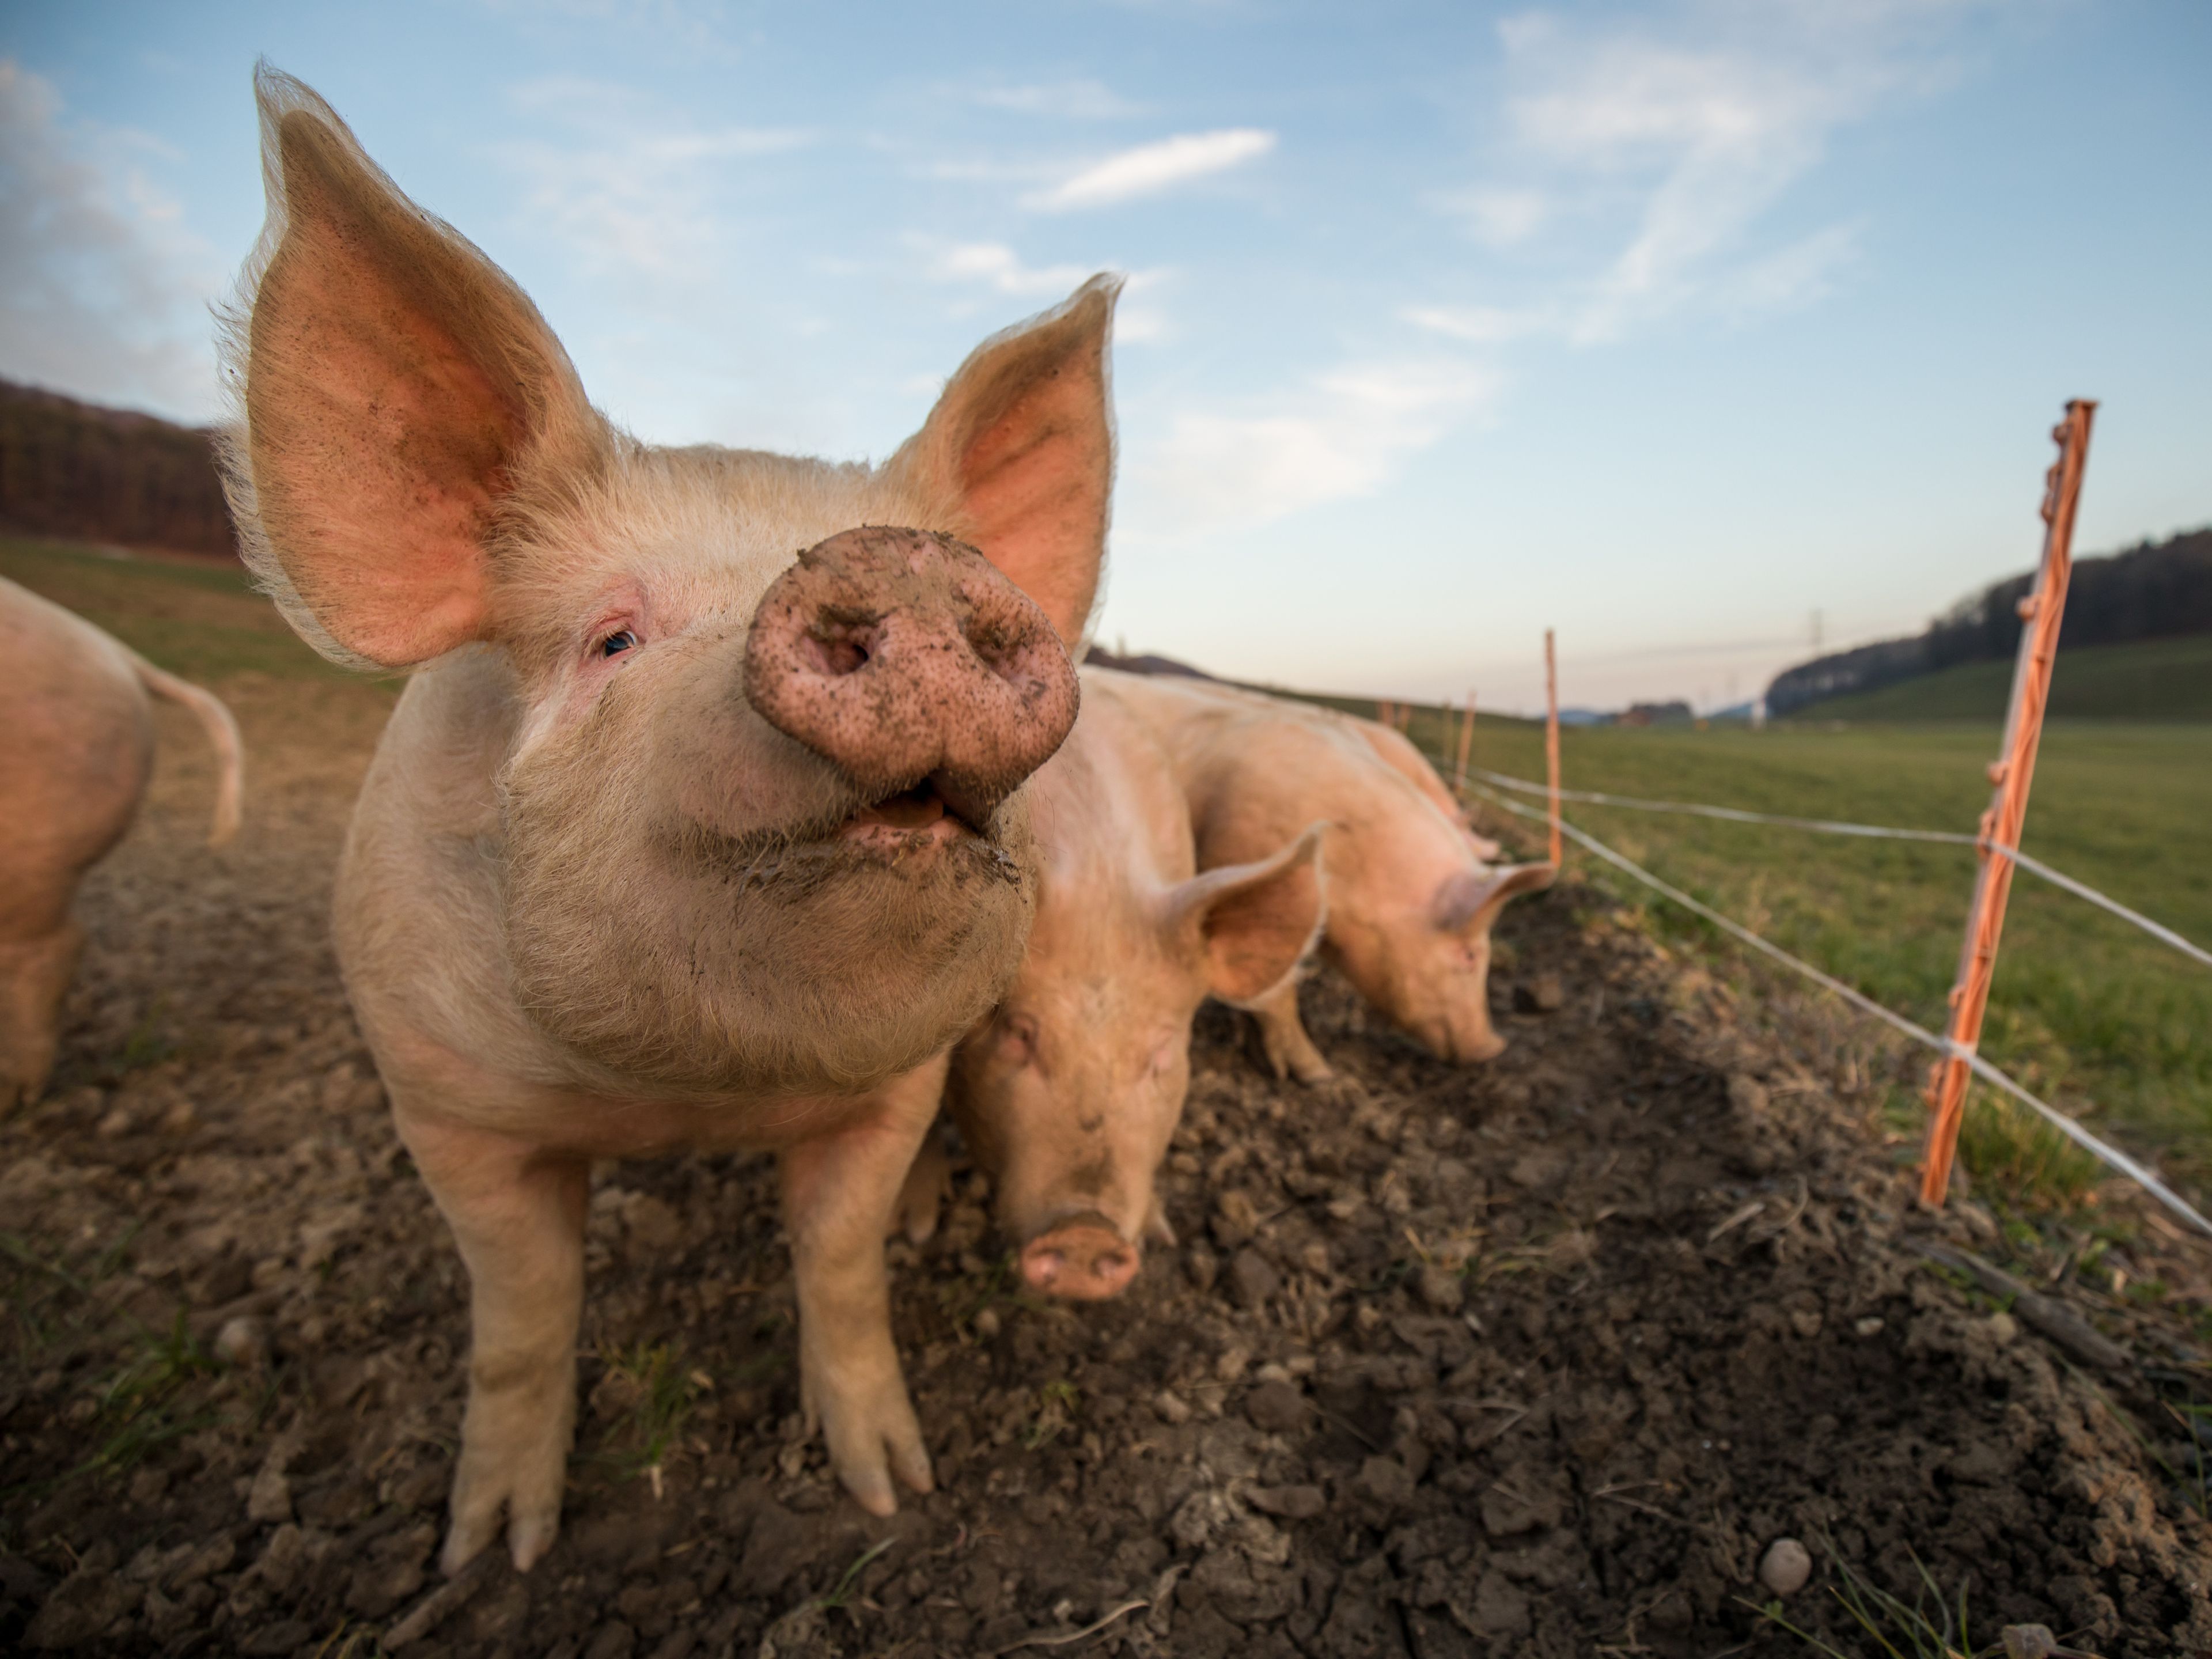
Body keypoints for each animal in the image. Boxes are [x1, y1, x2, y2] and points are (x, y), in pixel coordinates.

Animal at [218, 68, 1117, 1572]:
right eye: (612, 639)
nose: (908, 564)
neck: (682, 1100)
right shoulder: (440, 1099)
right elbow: (521, 1312)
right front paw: (493, 1552)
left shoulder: (892, 1089)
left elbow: (841, 1267)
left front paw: (893, 1487)